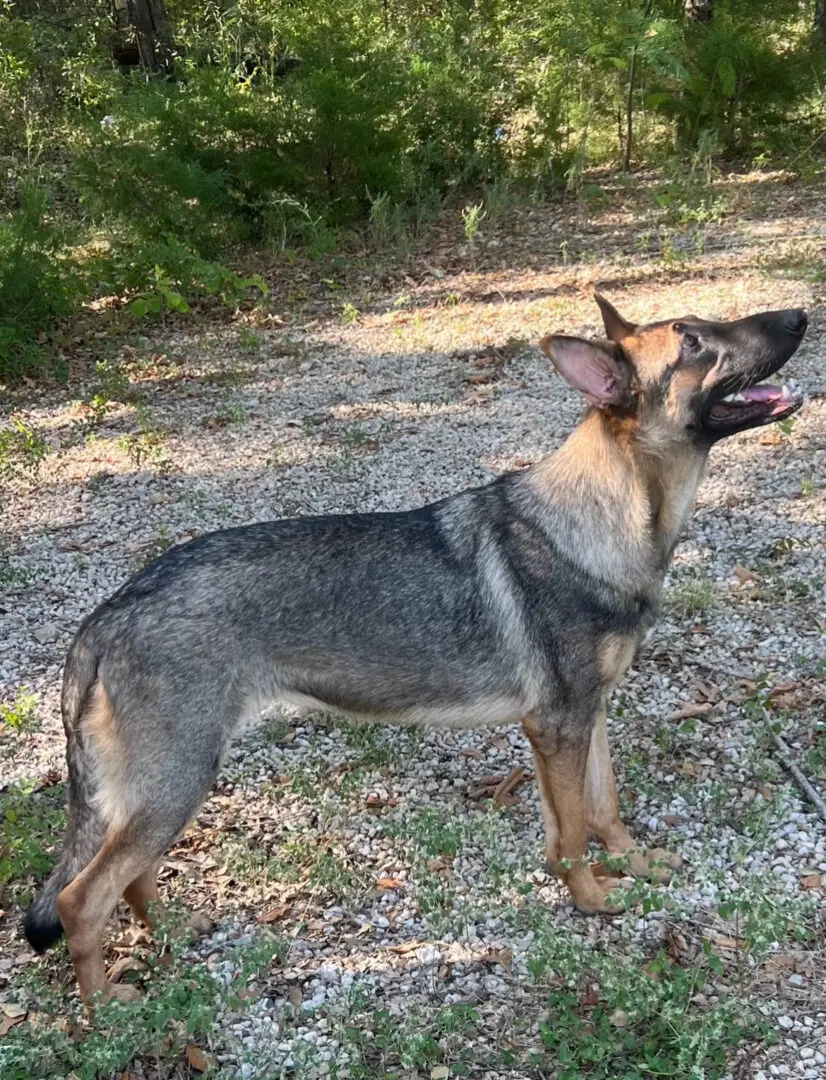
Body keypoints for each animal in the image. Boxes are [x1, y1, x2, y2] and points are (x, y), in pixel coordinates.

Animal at [25, 295, 807, 1002]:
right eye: (693, 343)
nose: (801, 315)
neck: (607, 518)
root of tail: (107, 614)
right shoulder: (558, 727)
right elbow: (575, 834)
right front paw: (590, 900)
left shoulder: (586, 719)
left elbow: (601, 810)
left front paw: (633, 866)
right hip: (178, 779)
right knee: (80, 900)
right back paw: (107, 1008)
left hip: (162, 791)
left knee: (132, 877)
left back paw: (172, 938)